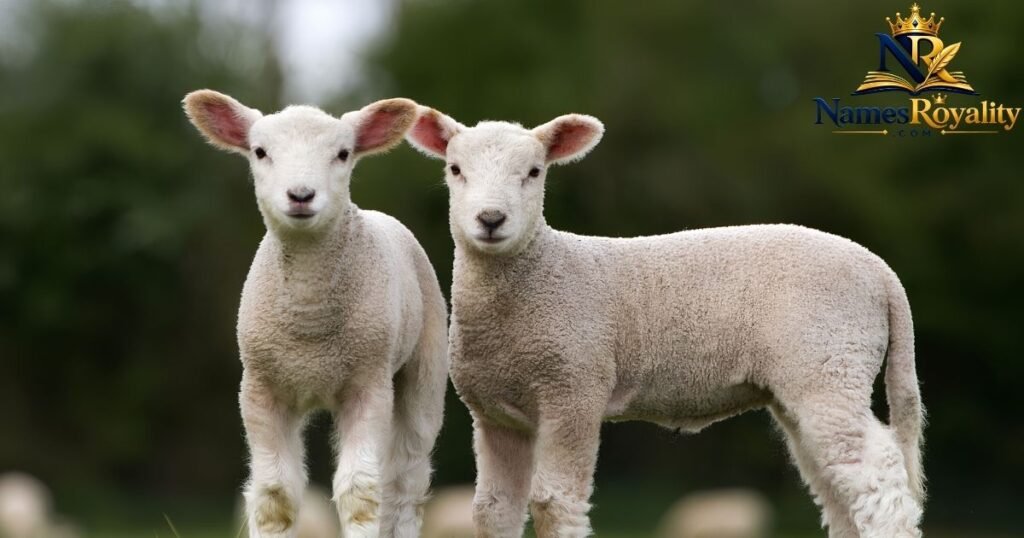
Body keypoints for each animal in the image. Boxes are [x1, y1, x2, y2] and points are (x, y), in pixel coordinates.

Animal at [183, 90, 448, 538]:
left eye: (342, 154)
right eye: (260, 151)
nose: (301, 195)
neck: (309, 321)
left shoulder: (368, 384)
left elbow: (360, 492)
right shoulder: (261, 389)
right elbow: (274, 495)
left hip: (424, 367)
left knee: (405, 486)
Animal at [406, 108, 925, 538]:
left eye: (534, 172)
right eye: (455, 170)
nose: (491, 219)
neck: (539, 274)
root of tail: (881, 272)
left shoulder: (574, 390)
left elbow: (554, 503)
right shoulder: (495, 415)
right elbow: (492, 511)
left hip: (829, 360)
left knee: (877, 473)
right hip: (809, 379)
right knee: (836, 485)